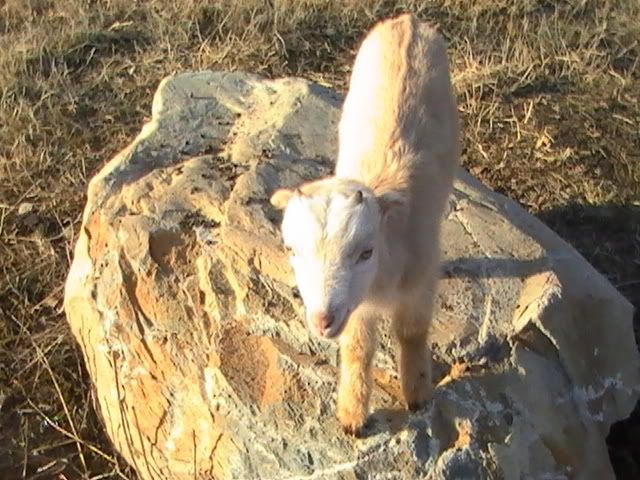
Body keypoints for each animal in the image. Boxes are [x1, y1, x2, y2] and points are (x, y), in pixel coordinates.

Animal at [270, 13, 459, 436]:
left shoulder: (420, 282)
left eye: (366, 252)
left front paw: (417, 394)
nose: (322, 320)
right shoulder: (356, 307)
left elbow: (412, 333)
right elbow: (357, 349)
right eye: (290, 250)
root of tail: (407, 19)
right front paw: (352, 416)